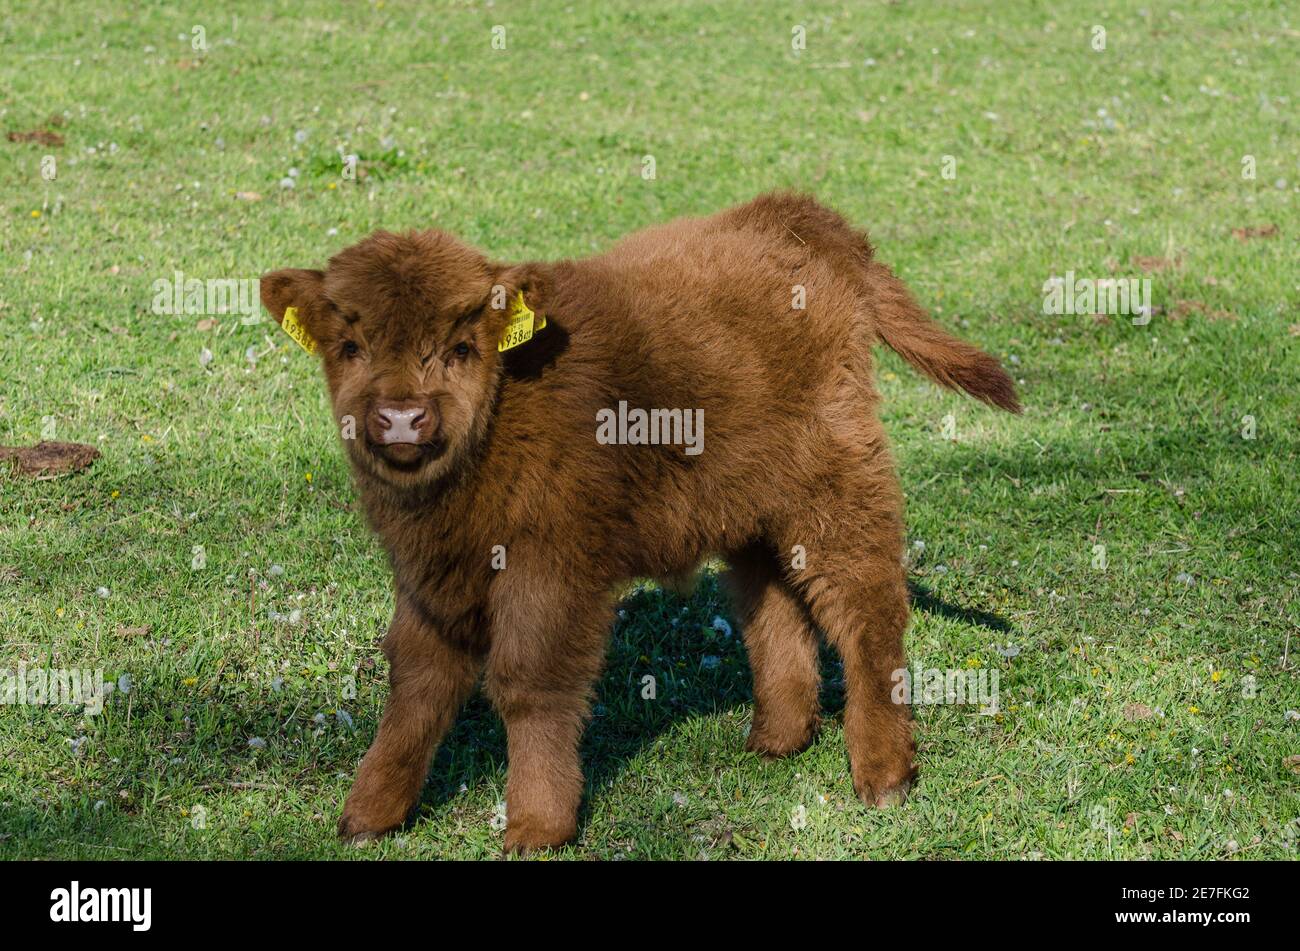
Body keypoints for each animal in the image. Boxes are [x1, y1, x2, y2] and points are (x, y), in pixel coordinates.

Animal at [258, 189, 1019, 852]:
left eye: (461, 347)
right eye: (349, 347)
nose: (401, 418)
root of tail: (796, 214)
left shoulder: (553, 564)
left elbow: (530, 682)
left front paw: (537, 824)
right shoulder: (426, 574)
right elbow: (416, 681)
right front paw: (371, 813)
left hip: (837, 478)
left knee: (866, 608)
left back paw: (885, 773)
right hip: (753, 503)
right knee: (772, 603)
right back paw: (779, 736)